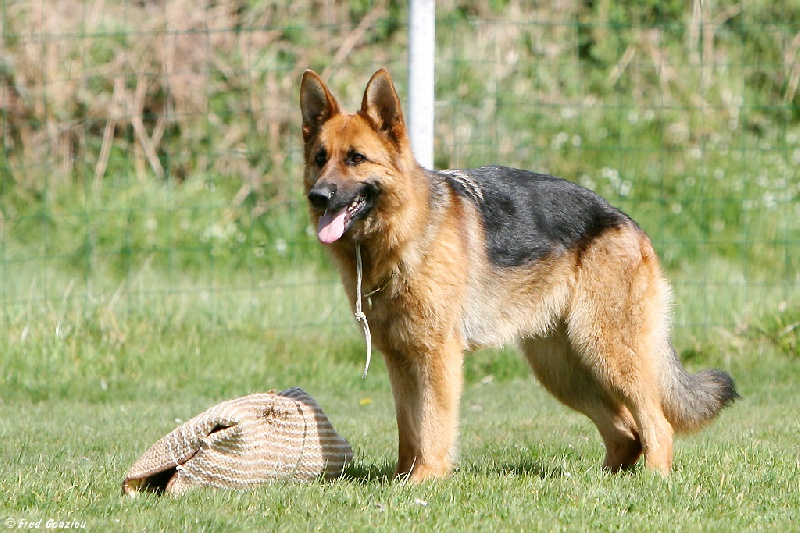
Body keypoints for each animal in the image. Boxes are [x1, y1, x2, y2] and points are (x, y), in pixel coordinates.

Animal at [300, 68, 736, 480]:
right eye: (321, 158)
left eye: (356, 158)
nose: (318, 196)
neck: (403, 231)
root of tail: (628, 223)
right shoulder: (401, 361)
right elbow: (410, 430)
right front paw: (401, 479)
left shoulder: (437, 358)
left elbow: (433, 427)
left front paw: (424, 480)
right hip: (563, 370)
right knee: (626, 433)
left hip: (607, 352)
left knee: (656, 425)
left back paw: (653, 479)